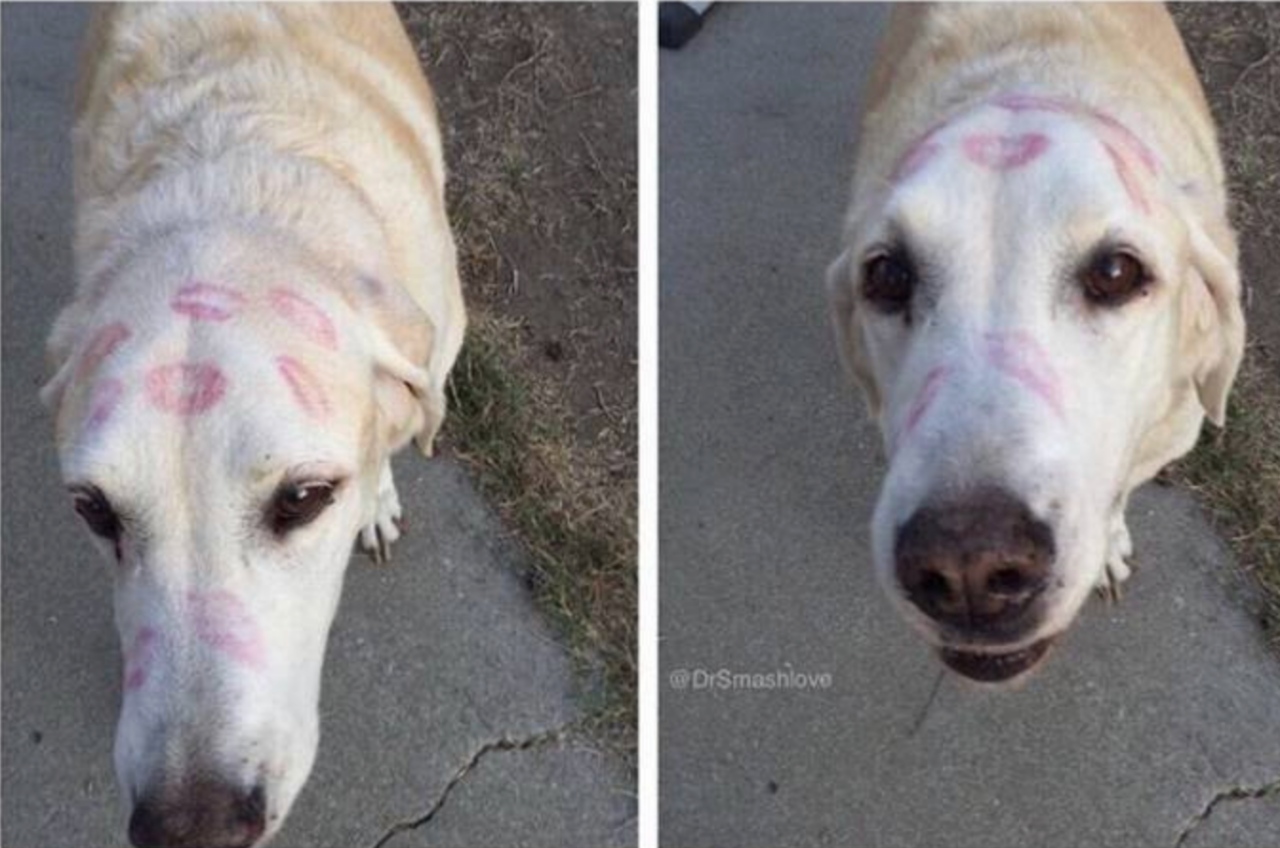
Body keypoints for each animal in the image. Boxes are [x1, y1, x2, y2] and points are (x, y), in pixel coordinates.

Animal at [824, 3, 1244, 686]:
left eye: (1116, 273)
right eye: (887, 276)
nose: (967, 566)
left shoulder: (1166, 437)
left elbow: (1120, 492)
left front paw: (1108, 545)